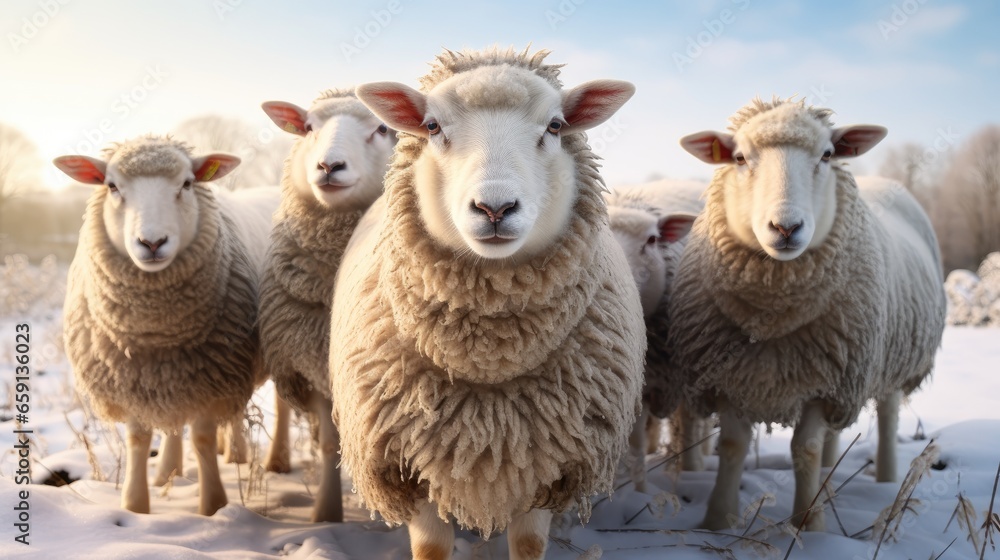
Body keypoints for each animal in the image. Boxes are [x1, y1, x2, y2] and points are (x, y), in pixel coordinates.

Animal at [54, 136, 278, 516]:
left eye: (187, 183)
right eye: (111, 186)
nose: (152, 242)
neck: (156, 334)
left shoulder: (213, 377)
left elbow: (202, 437)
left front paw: (213, 506)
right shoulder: (132, 378)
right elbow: (139, 438)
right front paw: (136, 505)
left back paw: (260, 457)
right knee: (182, 421)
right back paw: (171, 470)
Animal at [256, 88, 396, 522]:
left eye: (382, 128)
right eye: (308, 127)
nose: (329, 166)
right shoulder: (311, 362)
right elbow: (330, 444)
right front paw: (326, 514)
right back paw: (277, 460)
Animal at [330, 46, 645, 560]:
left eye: (555, 126)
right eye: (432, 126)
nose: (494, 208)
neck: (486, 363)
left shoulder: (553, 459)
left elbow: (529, 543)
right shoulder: (407, 460)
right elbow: (431, 548)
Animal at [667, 97, 946, 532]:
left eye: (828, 155)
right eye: (739, 157)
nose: (786, 227)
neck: (773, 315)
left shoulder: (826, 381)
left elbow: (806, 449)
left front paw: (808, 523)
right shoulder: (729, 376)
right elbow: (733, 445)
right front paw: (718, 520)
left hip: (887, 357)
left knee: (887, 416)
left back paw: (885, 479)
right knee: (836, 432)